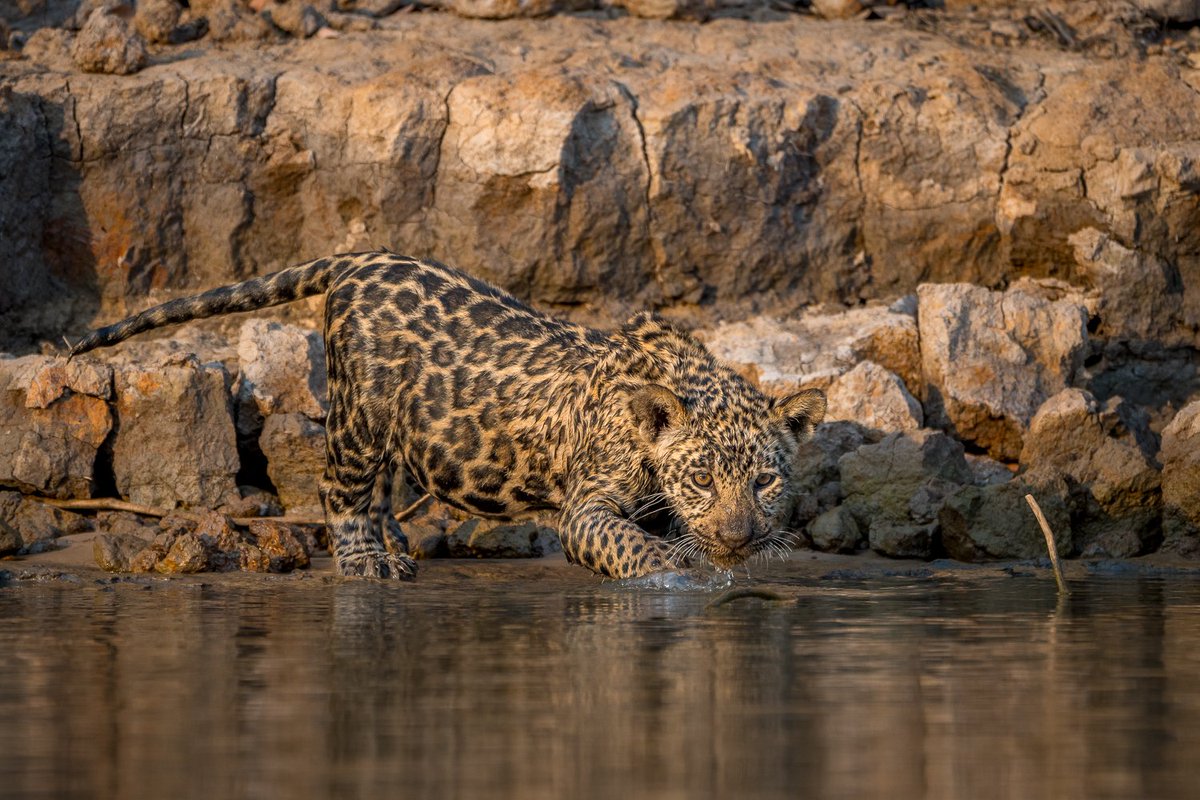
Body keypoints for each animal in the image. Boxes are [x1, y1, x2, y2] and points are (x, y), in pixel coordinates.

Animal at [69, 251, 826, 580]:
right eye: (701, 479)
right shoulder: (588, 504)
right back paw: (366, 563)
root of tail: (357, 259)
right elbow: (630, 545)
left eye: (764, 482)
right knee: (340, 489)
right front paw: (675, 570)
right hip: (357, 414)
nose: (738, 536)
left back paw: (395, 546)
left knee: (381, 491)